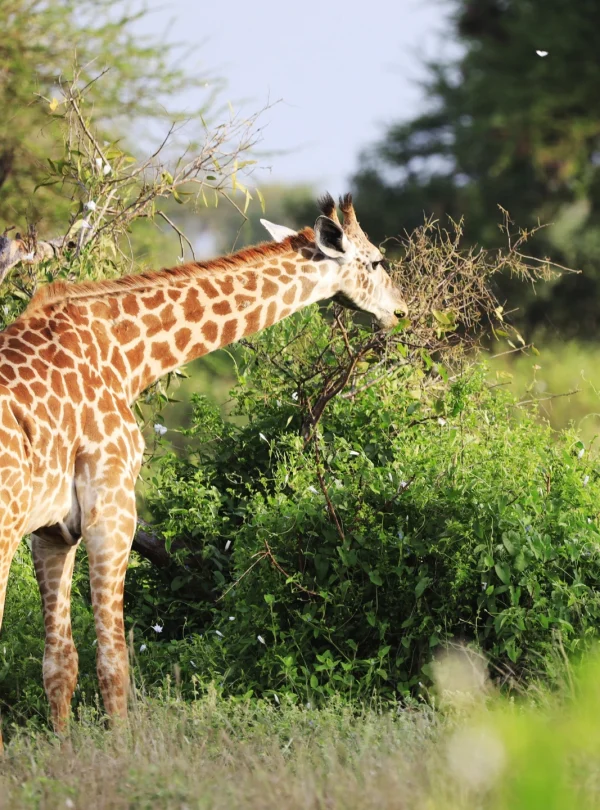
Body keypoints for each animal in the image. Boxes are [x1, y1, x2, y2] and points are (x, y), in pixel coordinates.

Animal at [0, 193, 407, 747]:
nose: (401, 310)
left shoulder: (51, 530)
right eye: (378, 262)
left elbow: (59, 663)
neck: (127, 355)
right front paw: (123, 752)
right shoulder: (112, 509)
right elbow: (115, 659)